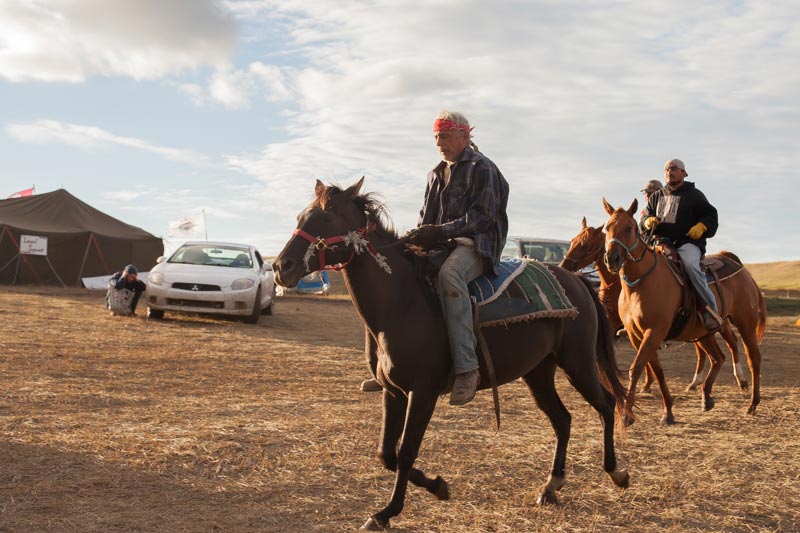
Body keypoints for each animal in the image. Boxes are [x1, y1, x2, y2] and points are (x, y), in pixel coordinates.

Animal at [276, 180, 632, 532]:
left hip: (578, 363)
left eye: (327, 216)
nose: (282, 267)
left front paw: (388, 511)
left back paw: (617, 472)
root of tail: (578, 281)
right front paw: (437, 487)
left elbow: (406, 451)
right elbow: (386, 454)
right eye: (301, 215)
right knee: (563, 419)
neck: (402, 302)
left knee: (606, 405)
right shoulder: (393, 391)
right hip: (538, 372)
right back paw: (551, 486)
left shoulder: (423, 392)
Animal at [556, 214, 752, 392]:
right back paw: (695, 382)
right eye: (572, 240)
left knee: (732, 342)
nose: (563, 266)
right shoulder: (614, 322)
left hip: (720, 321)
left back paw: (741, 379)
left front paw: (647, 384)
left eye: (585, 244)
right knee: (705, 350)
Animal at [604, 197, 764, 422]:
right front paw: (668, 411)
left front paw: (627, 414)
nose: (612, 258)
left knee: (752, 358)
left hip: (745, 324)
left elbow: (636, 368)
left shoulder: (654, 332)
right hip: (703, 332)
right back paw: (706, 396)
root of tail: (742, 271)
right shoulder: (637, 336)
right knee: (718, 357)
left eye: (629, 228)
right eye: (607, 228)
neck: (641, 283)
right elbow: (657, 370)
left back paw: (752, 403)